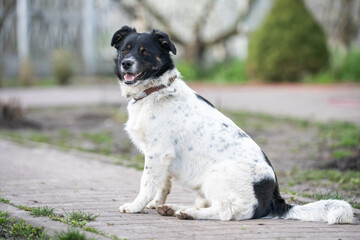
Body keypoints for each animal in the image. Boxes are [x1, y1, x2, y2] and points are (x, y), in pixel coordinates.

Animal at [111, 25, 352, 224]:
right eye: (125, 49)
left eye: (145, 52)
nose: (126, 63)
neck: (156, 91)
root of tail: (274, 199)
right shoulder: (163, 157)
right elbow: (163, 184)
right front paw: (155, 204)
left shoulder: (158, 153)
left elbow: (147, 183)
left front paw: (136, 206)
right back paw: (173, 208)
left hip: (215, 176)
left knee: (225, 211)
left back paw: (189, 212)